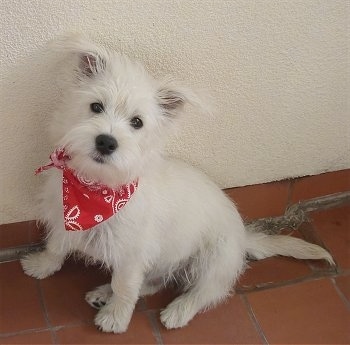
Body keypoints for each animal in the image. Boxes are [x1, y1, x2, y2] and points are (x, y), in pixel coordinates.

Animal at [20, 36, 332, 332]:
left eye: (137, 122)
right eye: (95, 106)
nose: (106, 142)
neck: (94, 189)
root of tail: (244, 237)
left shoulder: (133, 255)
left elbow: (125, 287)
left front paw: (115, 318)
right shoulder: (62, 220)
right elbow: (56, 247)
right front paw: (41, 266)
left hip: (213, 260)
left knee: (206, 292)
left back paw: (177, 310)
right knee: (154, 283)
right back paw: (102, 293)